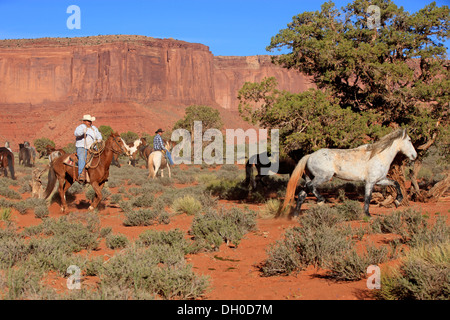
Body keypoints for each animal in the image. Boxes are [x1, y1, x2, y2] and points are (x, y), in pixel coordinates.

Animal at [282, 128, 418, 218]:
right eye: (409, 140)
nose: (414, 156)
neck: (378, 155)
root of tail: (309, 156)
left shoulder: (380, 180)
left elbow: (396, 183)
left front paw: (397, 201)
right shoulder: (370, 182)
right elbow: (368, 197)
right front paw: (367, 214)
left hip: (312, 177)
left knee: (302, 194)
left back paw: (295, 216)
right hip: (323, 177)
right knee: (310, 187)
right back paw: (321, 200)